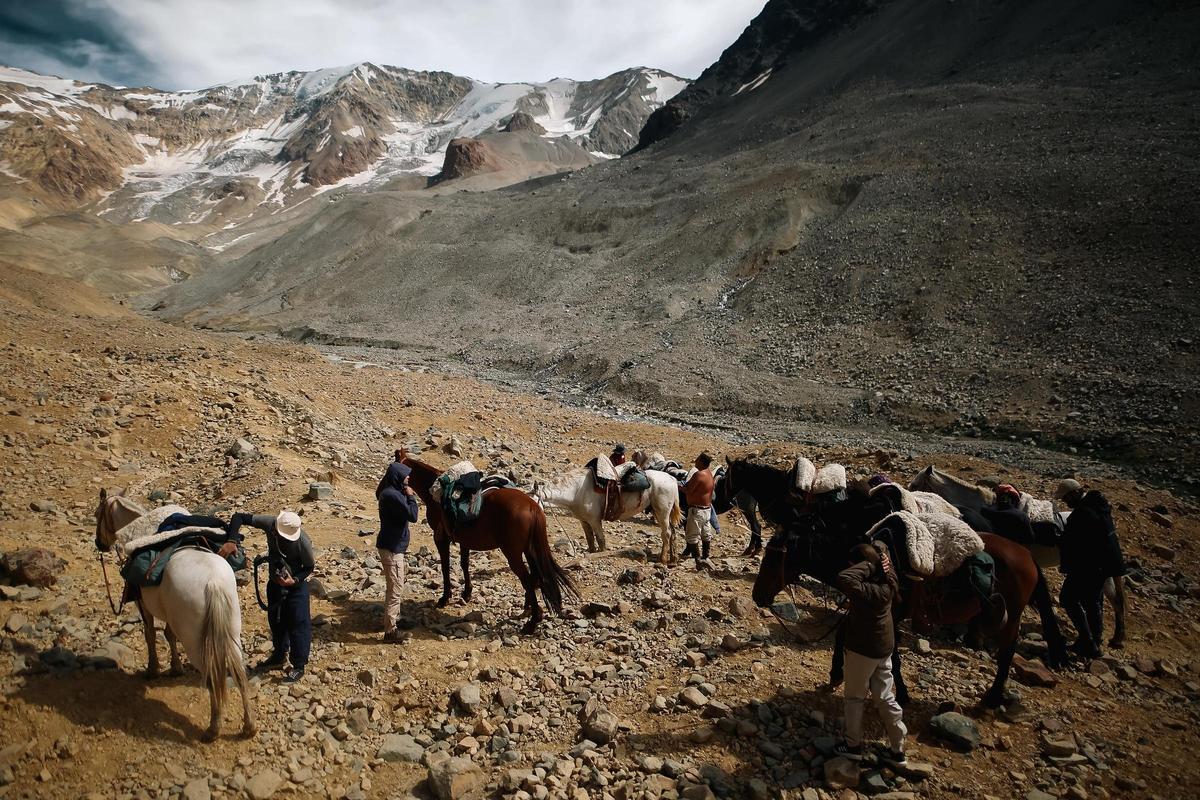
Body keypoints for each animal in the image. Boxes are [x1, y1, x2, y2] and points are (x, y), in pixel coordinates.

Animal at [96, 489, 258, 743]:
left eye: (97, 514)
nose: (99, 543)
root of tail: (212, 583)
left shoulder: (143, 605)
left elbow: (151, 634)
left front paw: (153, 670)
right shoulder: (170, 616)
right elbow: (169, 634)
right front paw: (175, 668)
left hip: (195, 642)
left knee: (212, 678)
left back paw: (213, 729)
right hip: (232, 631)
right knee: (239, 673)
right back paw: (248, 727)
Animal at [400, 455, 578, 633]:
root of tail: (532, 506)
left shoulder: (441, 539)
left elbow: (445, 567)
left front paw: (445, 598)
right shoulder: (464, 541)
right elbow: (464, 564)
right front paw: (467, 593)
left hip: (513, 554)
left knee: (528, 579)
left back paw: (532, 622)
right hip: (529, 550)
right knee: (534, 577)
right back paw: (528, 609)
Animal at [535, 470, 686, 563]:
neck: (576, 491)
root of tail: (672, 479)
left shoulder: (595, 521)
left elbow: (601, 540)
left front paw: (600, 555)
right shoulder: (584, 521)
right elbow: (590, 540)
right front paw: (590, 554)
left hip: (662, 512)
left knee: (666, 533)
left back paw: (663, 559)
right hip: (659, 512)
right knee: (672, 532)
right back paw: (673, 559)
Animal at [724, 455, 1046, 705]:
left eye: (773, 562)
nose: (758, 597)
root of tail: (1027, 556)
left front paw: (898, 692)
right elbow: (846, 633)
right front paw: (837, 674)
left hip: (1012, 613)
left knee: (1007, 649)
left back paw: (991, 694)